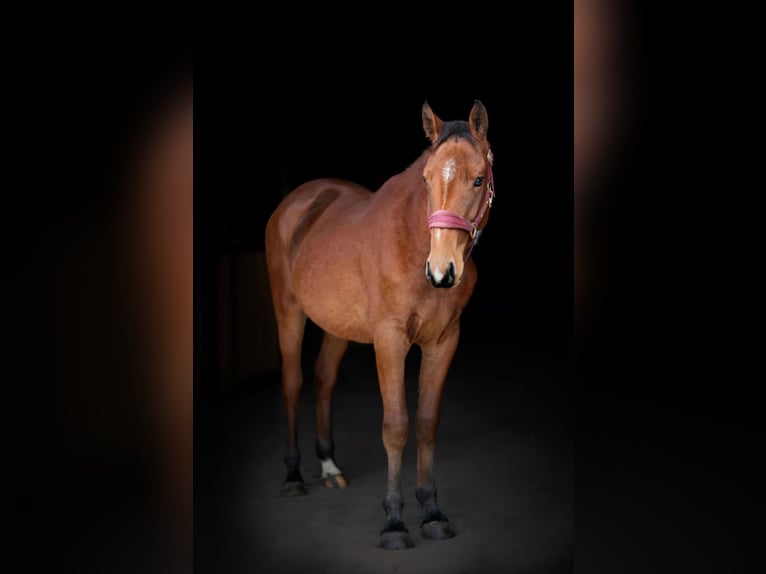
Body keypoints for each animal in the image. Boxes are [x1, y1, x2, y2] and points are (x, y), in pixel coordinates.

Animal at [266, 100, 498, 552]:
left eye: (478, 179)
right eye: (426, 179)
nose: (442, 271)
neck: (413, 242)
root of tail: (297, 202)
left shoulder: (444, 341)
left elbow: (426, 421)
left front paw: (432, 512)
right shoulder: (390, 340)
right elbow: (396, 425)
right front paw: (393, 522)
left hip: (337, 324)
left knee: (324, 378)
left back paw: (328, 466)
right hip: (288, 311)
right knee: (293, 382)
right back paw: (293, 476)